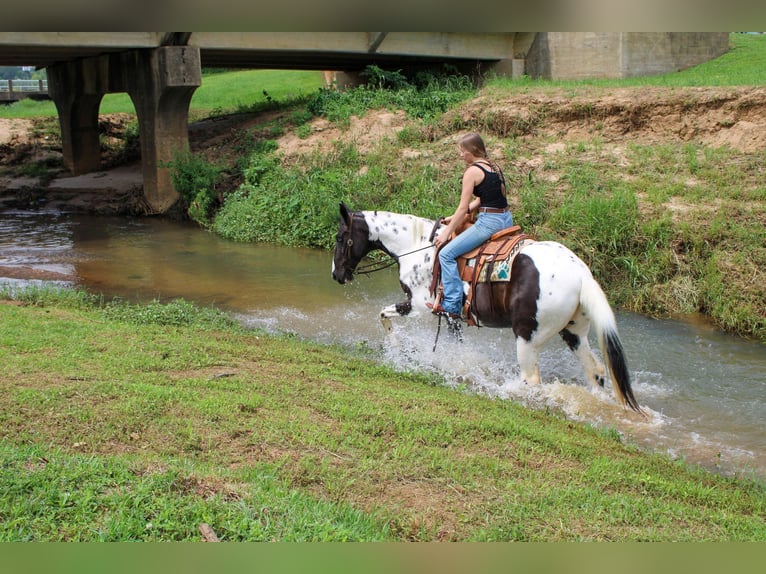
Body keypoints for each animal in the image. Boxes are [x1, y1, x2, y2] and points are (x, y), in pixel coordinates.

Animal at [332, 205, 644, 416]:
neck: (417, 246)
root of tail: (581, 273)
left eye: (339, 237)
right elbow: (457, 346)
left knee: (532, 380)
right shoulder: (451, 316)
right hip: (573, 333)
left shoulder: (419, 306)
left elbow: (383, 314)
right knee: (596, 371)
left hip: (528, 337)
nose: (336, 275)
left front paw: (398, 349)